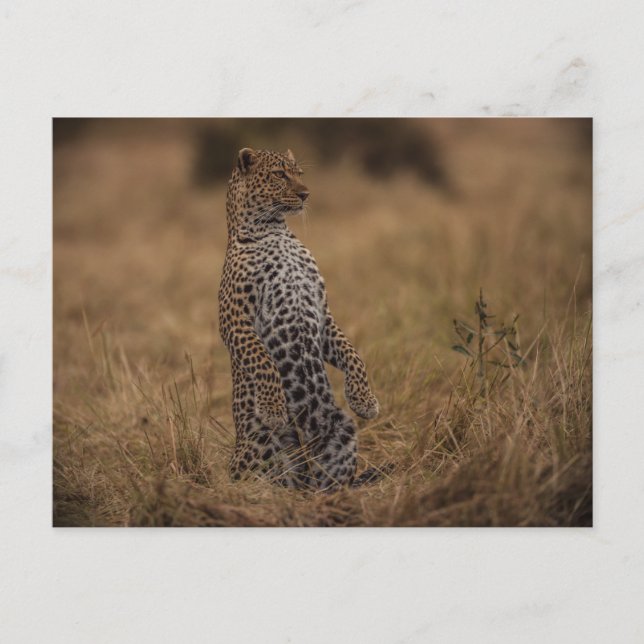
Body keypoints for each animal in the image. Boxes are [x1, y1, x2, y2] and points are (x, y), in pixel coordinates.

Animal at [218, 147, 385, 490]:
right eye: (279, 174)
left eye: (299, 174)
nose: (306, 194)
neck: (274, 231)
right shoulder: (234, 319)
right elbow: (261, 360)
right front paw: (272, 407)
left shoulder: (322, 313)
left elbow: (353, 354)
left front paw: (364, 400)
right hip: (259, 444)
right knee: (251, 475)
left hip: (341, 431)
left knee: (324, 483)